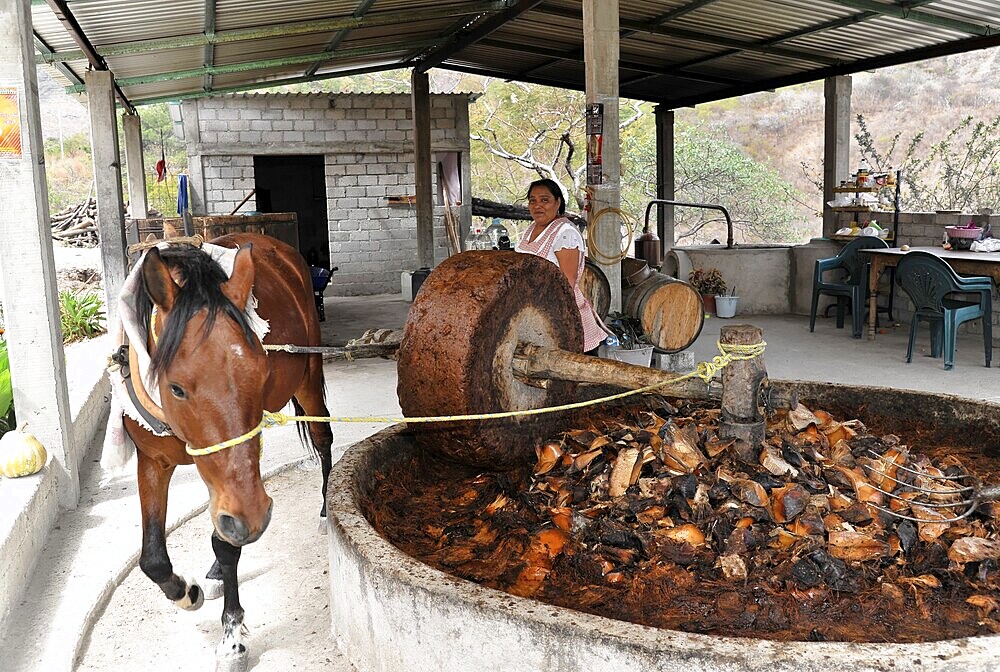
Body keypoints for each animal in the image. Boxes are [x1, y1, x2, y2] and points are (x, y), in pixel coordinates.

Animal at [121, 234, 332, 668]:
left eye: (263, 373)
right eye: (176, 387)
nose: (256, 518)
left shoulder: (240, 487)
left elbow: (229, 539)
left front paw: (232, 637)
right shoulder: (154, 460)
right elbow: (152, 556)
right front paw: (187, 591)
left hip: (308, 375)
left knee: (324, 441)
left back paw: (323, 510)